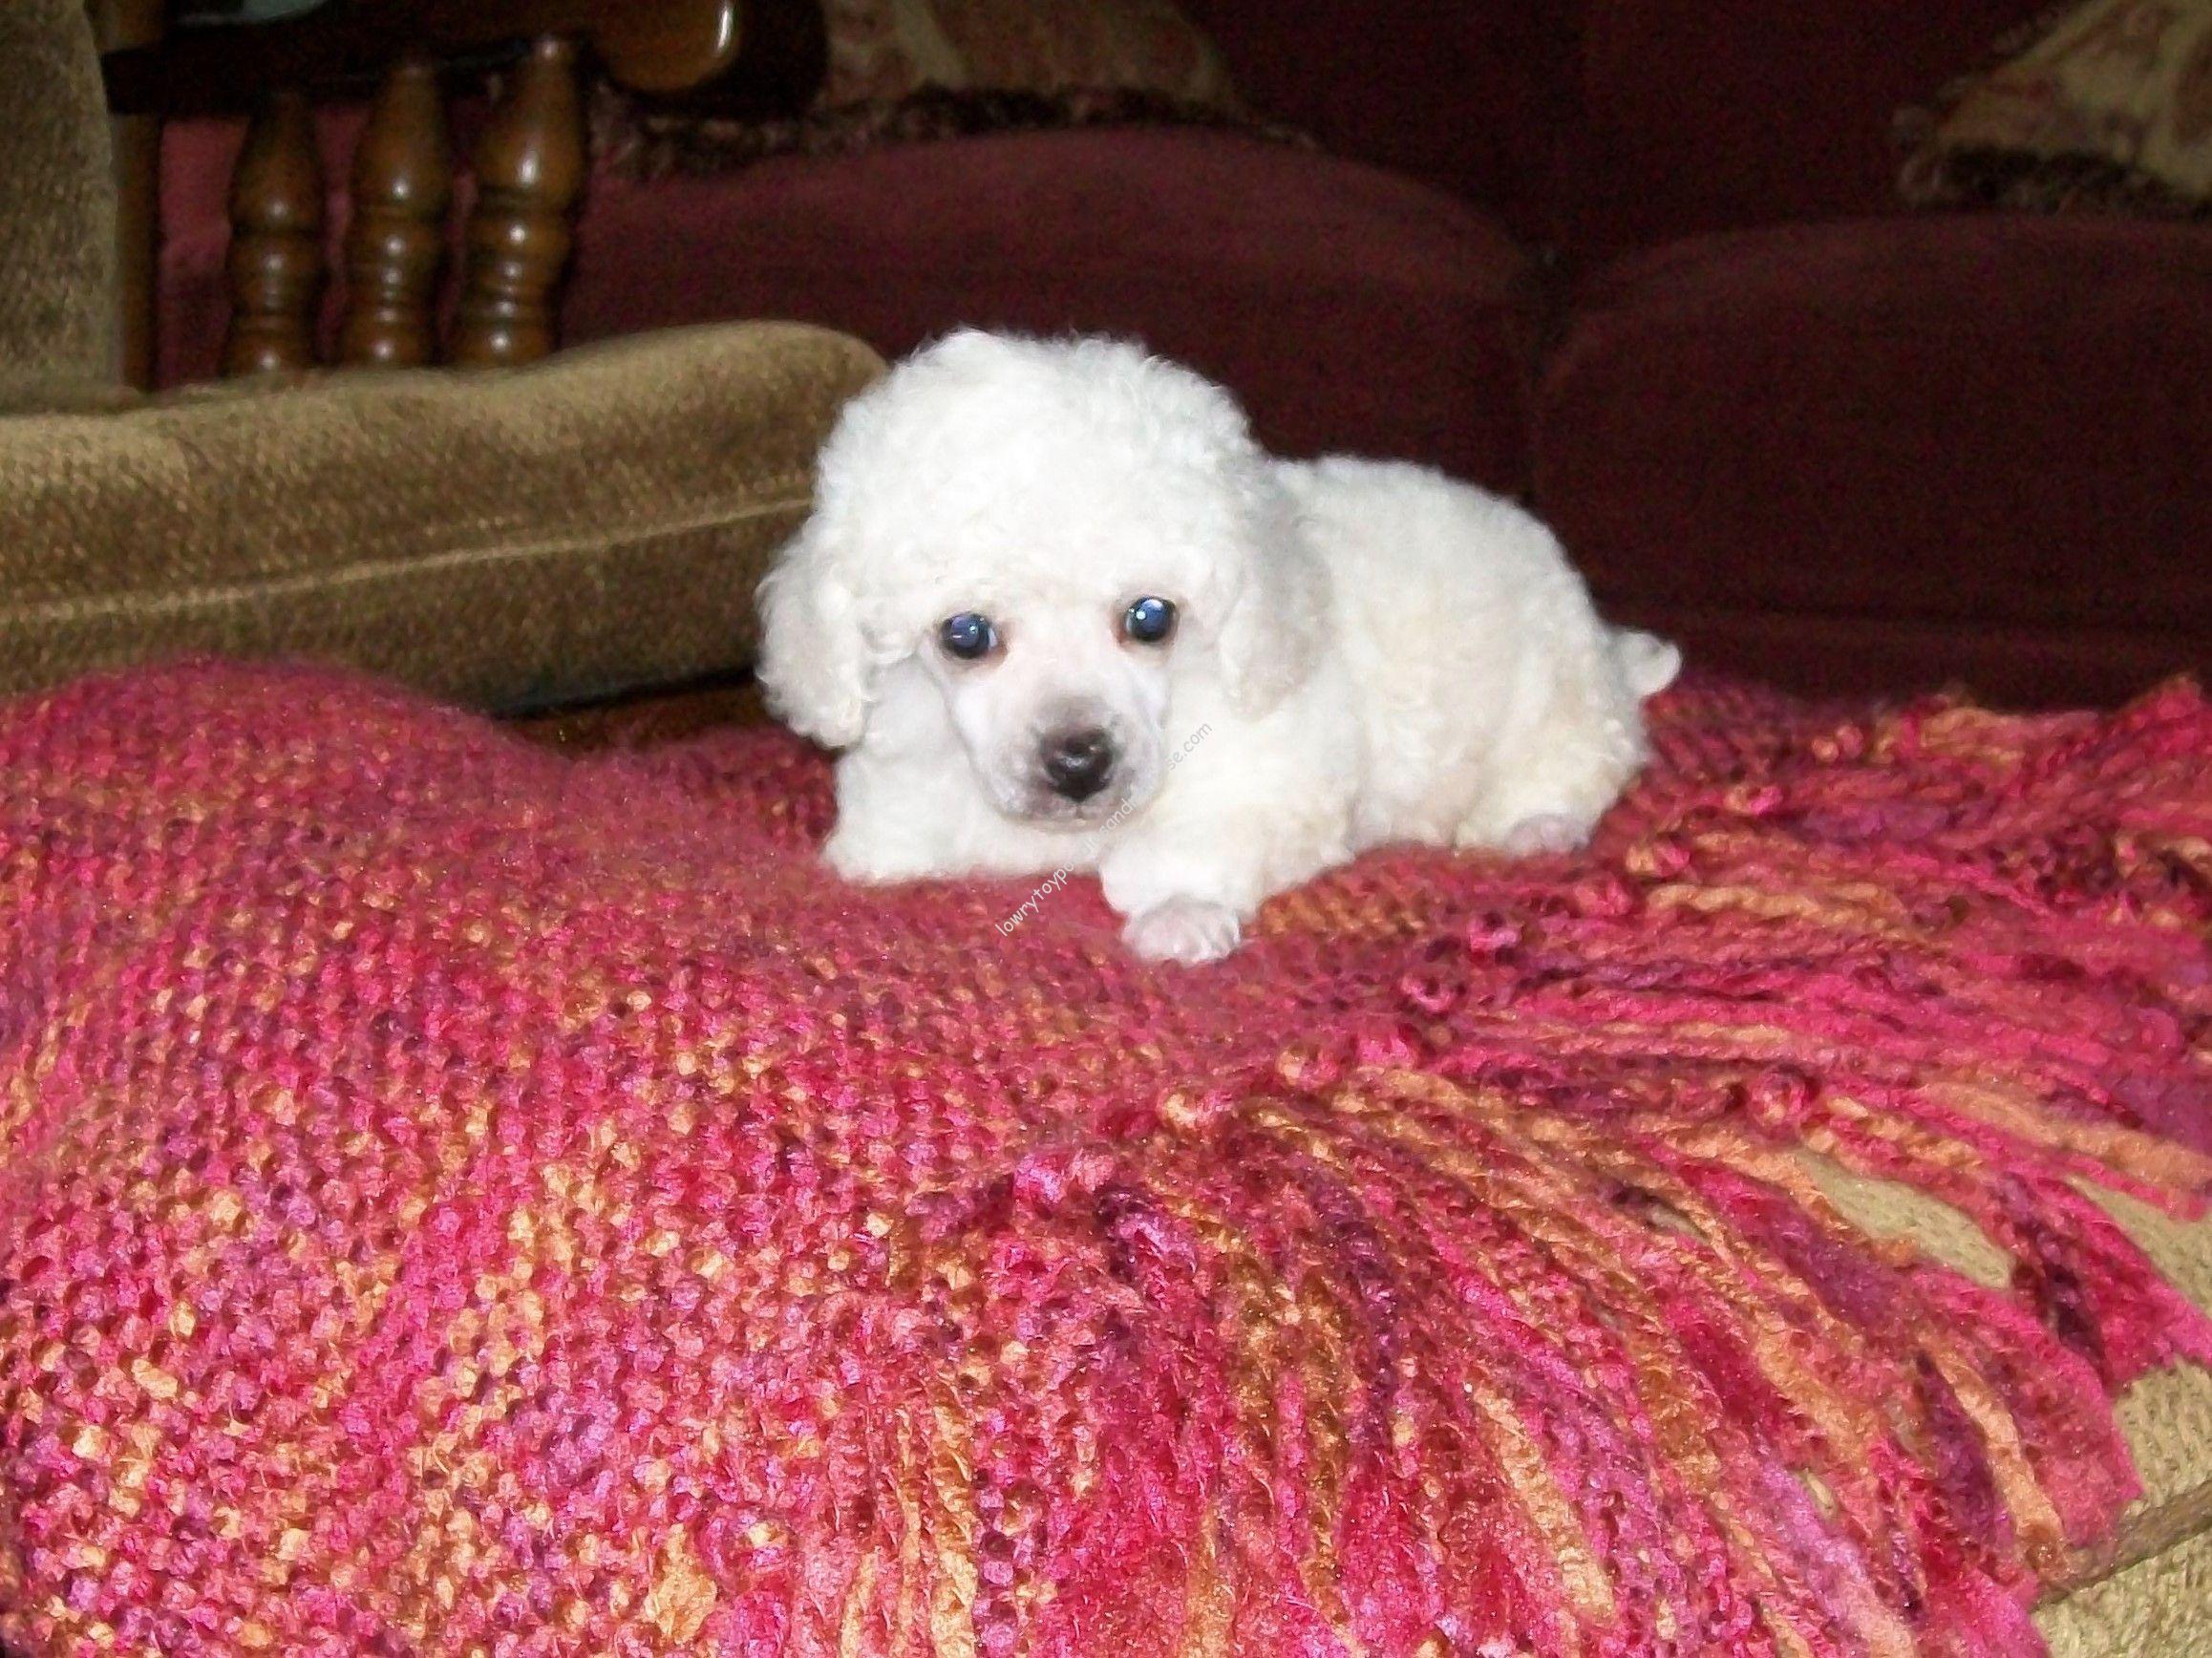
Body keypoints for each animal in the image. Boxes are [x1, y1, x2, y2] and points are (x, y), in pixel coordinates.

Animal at [760, 331, 1671, 967]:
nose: (1079, 762)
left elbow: (1190, 843)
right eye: (966, 635)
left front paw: (1176, 912)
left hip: (1551, 682)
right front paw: (874, 859)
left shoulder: (1277, 779)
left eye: (1151, 618)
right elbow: (897, 820)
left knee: (1588, 754)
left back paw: (1535, 823)